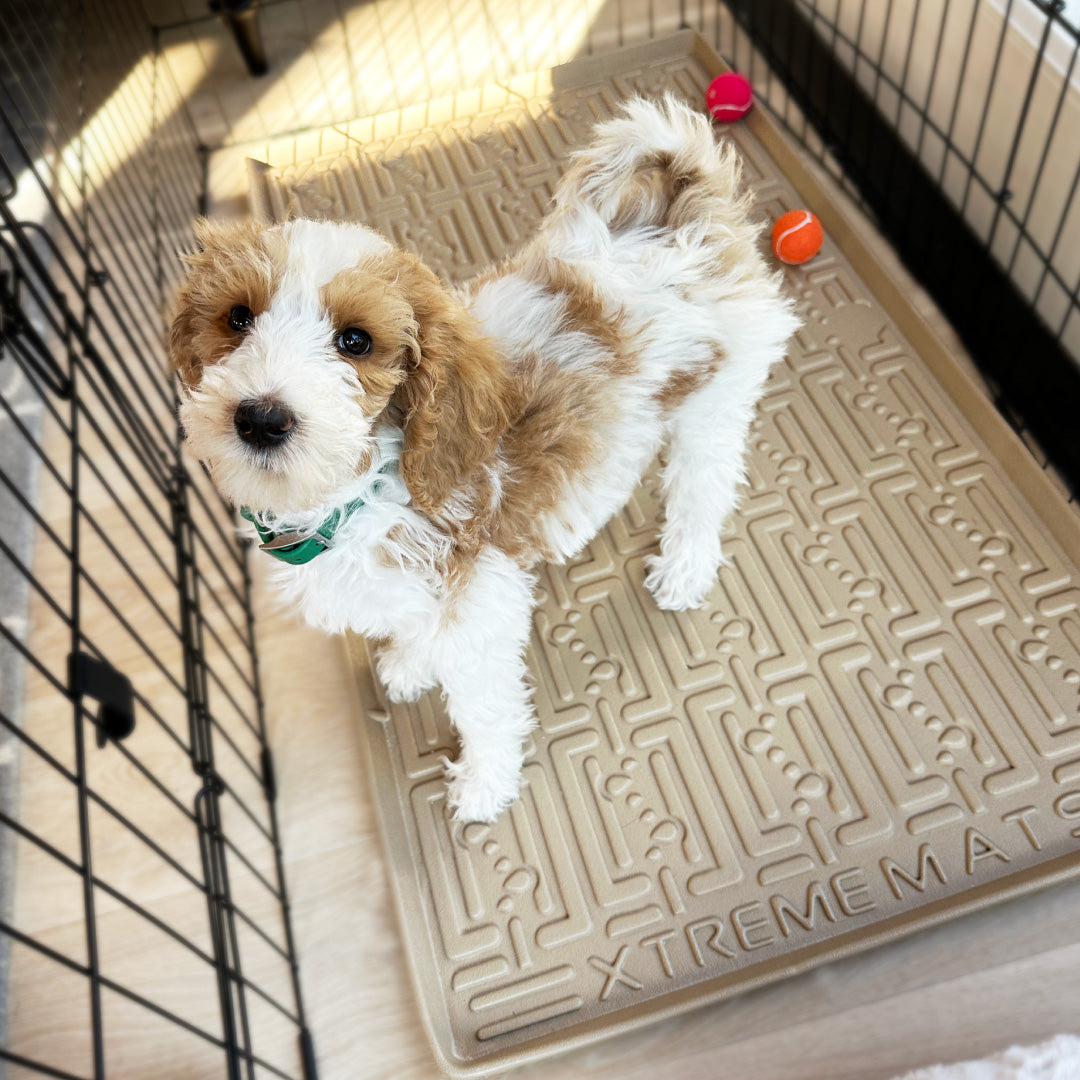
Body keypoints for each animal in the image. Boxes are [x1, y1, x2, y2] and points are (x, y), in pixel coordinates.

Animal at [172, 97, 799, 820]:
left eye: (355, 341)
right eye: (237, 318)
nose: (261, 418)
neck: (365, 489)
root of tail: (680, 217)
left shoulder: (479, 611)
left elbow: (484, 709)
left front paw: (483, 784)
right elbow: (415, 628)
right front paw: (411, 662)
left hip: (716, 398)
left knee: (705, 484)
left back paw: (684, 567)